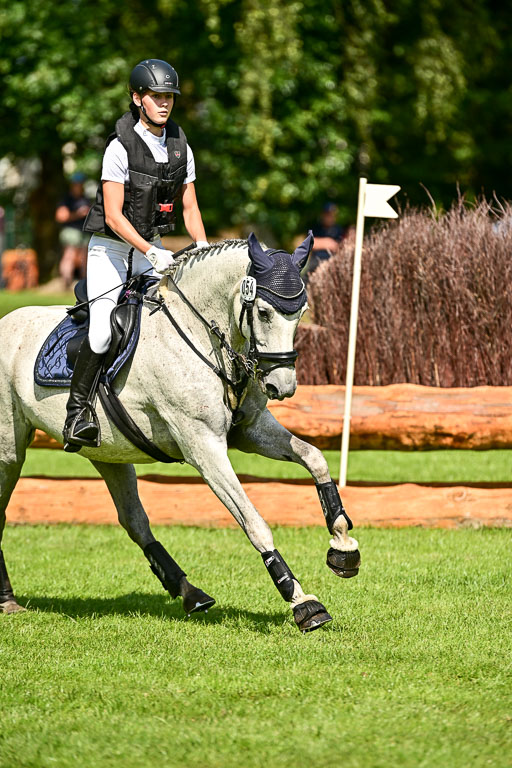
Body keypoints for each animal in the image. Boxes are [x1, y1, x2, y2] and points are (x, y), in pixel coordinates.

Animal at [0, 233, 361, 632]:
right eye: (264, 312)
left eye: (300, 312)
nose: (282, 387)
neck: (202, 335)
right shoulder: (204, 447)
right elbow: (253, 521)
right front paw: (302, 602)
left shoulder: (250, 431)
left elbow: (314, 458)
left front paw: (343, 546)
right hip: (9, 451)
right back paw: (8, 601)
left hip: (107, 452)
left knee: (134, 521)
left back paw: (190, 592)